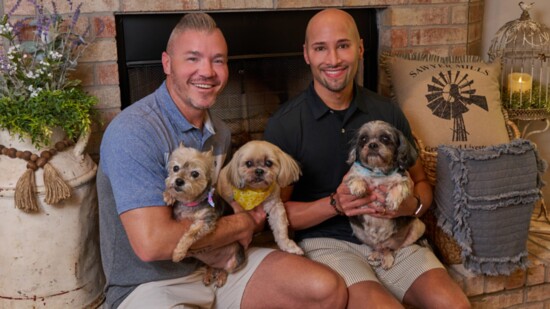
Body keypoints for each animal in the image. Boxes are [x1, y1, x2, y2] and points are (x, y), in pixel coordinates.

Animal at [162, 142, 244, 286]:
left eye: (195, 173)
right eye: (175, 168)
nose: (178, 181)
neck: (190, 203)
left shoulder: (206, 221)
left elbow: (190, 234)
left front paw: (178, 252)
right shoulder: (177, 217)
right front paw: (169, 195)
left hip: (236, 260)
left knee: (226, 269)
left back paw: (220, 277)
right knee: (211, 266)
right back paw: (208, 275)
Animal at [348, 120, 430, 270]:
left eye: (385, 138)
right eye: (363, 139)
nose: (372, 144)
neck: (378, 172)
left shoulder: (405, 180)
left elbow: (399, 185)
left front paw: (392, 199)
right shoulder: (353, 174)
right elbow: (355, 176)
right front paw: (358, 186)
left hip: (418, 227)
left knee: (392, 248)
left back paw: (387, 258)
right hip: (359, 232)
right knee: (377, 247)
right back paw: (376, 254)